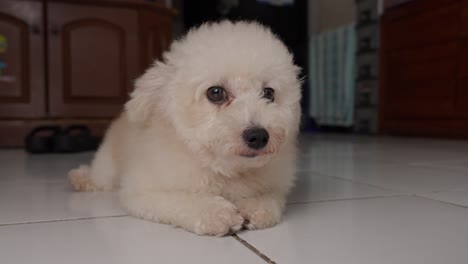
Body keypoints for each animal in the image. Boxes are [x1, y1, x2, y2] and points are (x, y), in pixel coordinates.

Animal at [70, 20, 304, 235]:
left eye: (268, 93)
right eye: (216, 93)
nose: (258, 136)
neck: (225, 171)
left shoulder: (276, 188)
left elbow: (269, 200)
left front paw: (254, 207)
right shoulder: (142, 193)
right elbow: (182, 200)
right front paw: (216, 213)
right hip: (107, 167)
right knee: (99, 176)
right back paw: (80, 178)